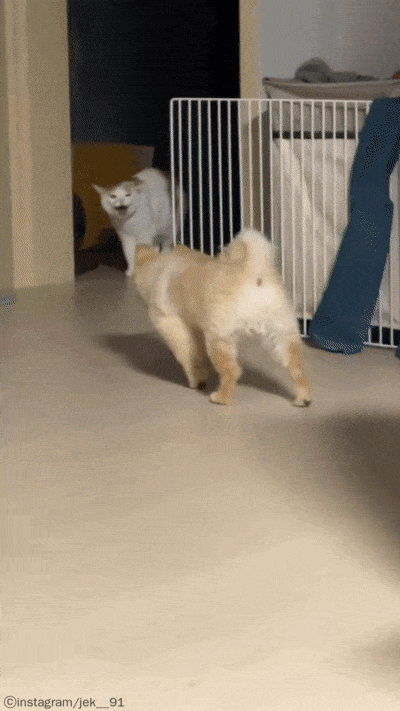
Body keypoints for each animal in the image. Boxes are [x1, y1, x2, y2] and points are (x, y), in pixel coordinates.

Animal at [134, 228, 312, 406]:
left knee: (232, 371)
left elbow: (188, 358)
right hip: (281, 334)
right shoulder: (196, 328)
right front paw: (203, 373)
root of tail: (253, 273)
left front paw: (196, 380)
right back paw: (303, 398)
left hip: (219, 337)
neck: (158, 268)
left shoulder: (171, 325)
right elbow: (198, 354)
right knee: (297, 368)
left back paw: (221, 397)